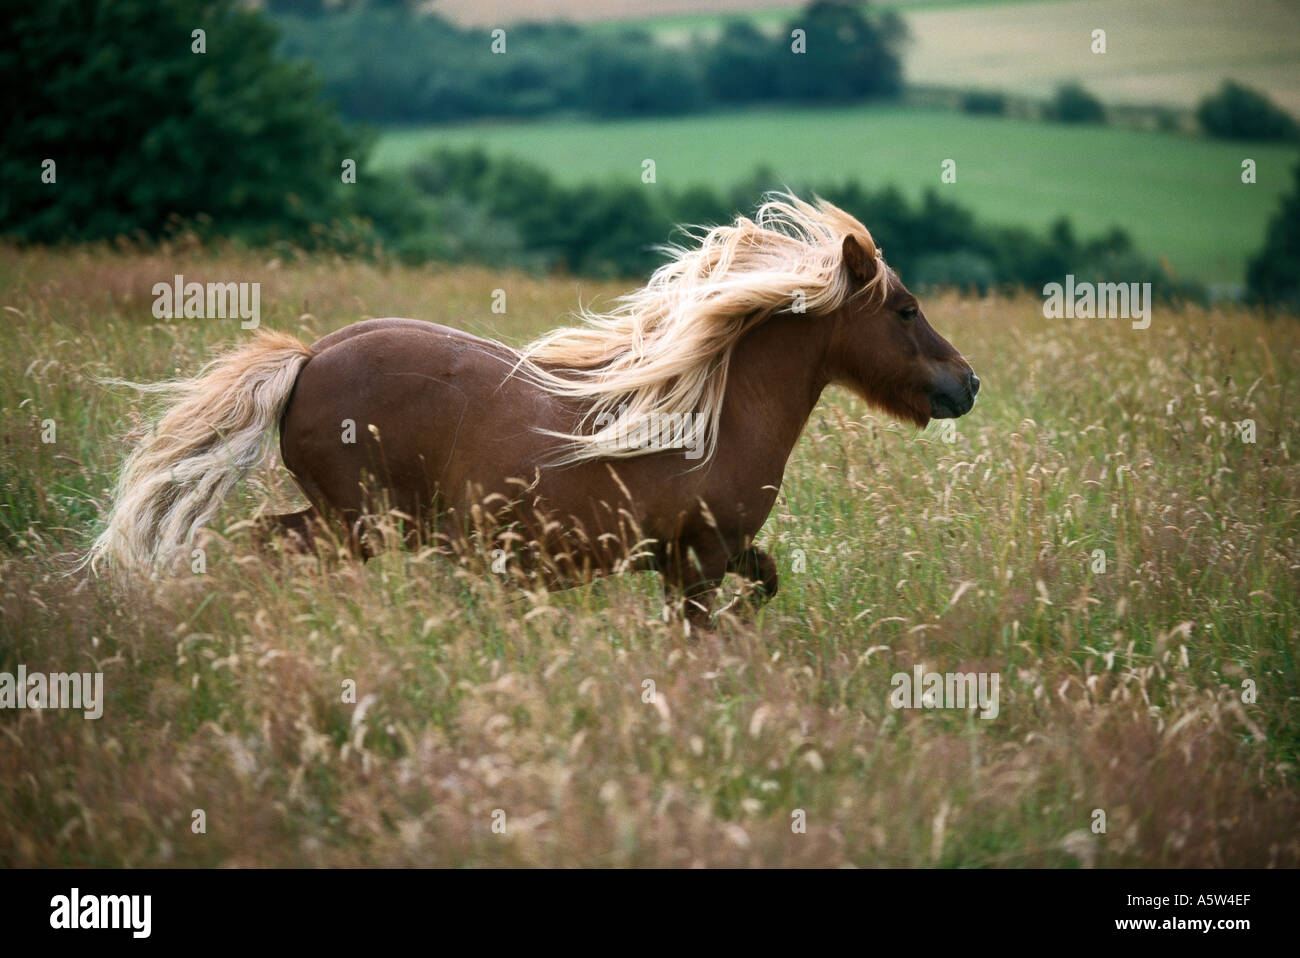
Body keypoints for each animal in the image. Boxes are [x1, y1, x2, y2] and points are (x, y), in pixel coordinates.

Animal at [86, 194, 979, 630]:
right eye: (905, 309)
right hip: (360, 521)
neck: (717, 418)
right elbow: (705, 627)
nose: (965, 384)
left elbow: (765, 582)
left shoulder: (704, 555)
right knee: (268, 545)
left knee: (264, 540)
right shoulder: (700, 556)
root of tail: (307, 359)